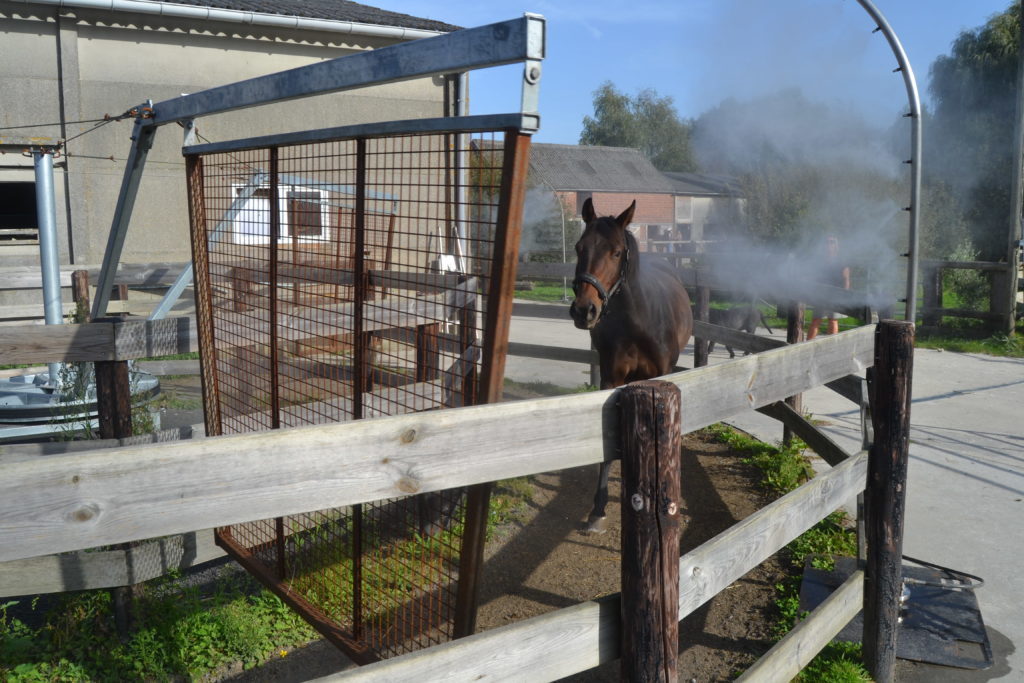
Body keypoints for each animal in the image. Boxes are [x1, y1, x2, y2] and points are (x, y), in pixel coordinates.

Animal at [569, 197, 696, 532]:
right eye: (579, 247)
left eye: (616, 251)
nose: (584, 310)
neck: (638, 320)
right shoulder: (610, 378)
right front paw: (597, 509)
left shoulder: (660, 377)